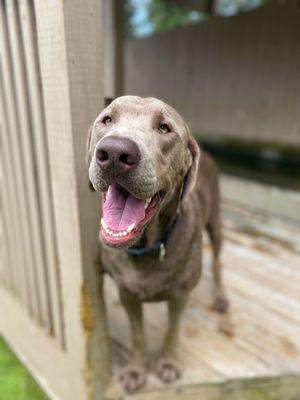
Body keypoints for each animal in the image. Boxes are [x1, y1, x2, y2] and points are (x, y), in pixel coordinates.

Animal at [88, 95, 229, 392]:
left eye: (165, 128)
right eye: (107, 119)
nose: (115, 153)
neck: (148, 246)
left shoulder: (179, 295)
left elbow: (173, 330)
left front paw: (169, 363)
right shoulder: (128, 295)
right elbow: (137, 334)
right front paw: (136, 370)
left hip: (216, 222)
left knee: (218, 261)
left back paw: (221, 296)